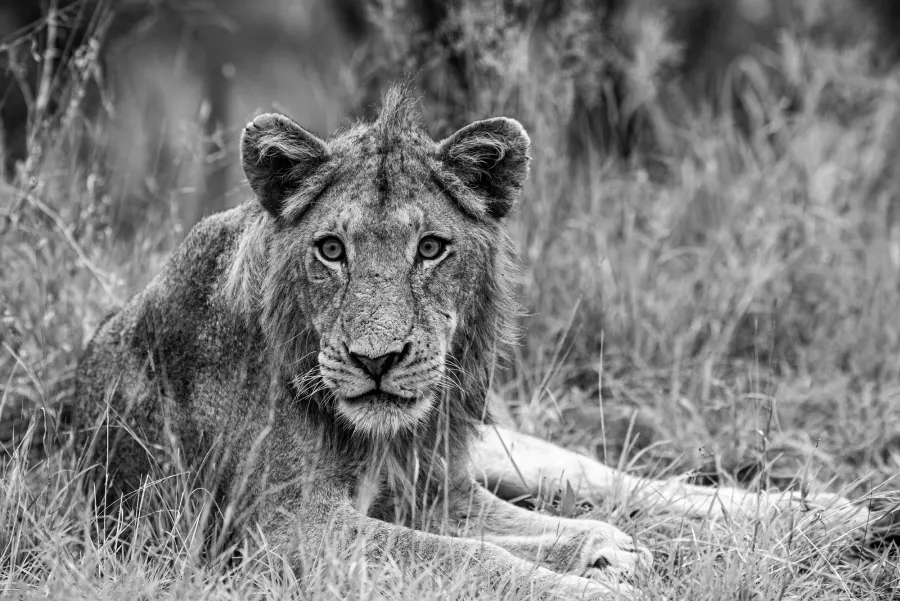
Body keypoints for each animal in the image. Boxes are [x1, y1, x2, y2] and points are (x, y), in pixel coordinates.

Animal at [74, 84, 872, 600]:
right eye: (331, 249)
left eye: (431, 248)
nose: (376, 360)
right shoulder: (282, 527)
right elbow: (476, 557)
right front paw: (603, 566)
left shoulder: (436, 487)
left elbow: (502, 537)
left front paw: (605, 551)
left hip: (495, 446)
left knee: (608, 479)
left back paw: (828, 513)